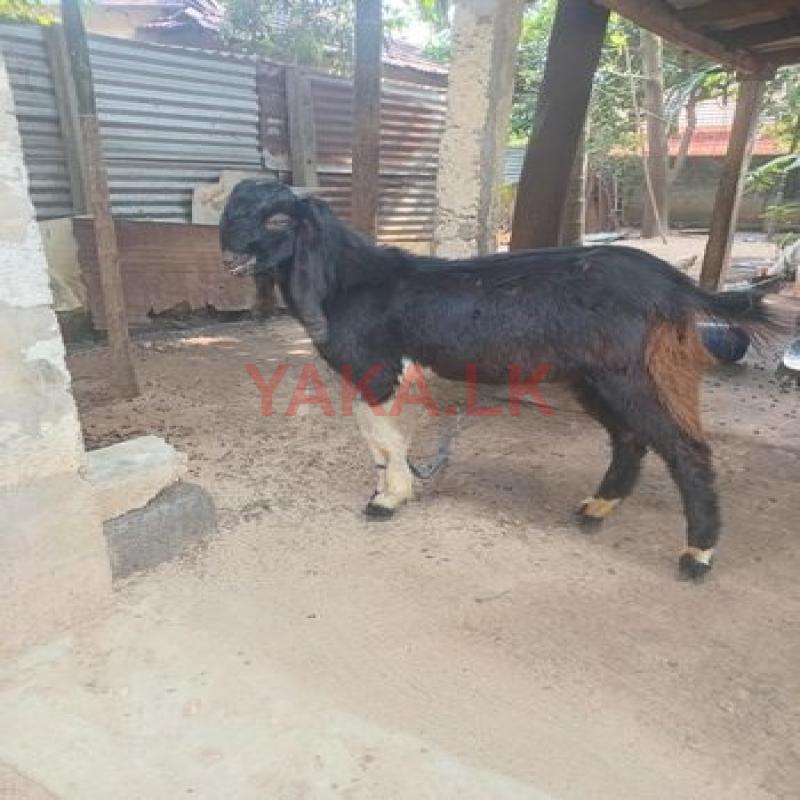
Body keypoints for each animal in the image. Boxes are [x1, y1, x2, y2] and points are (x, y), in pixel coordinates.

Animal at [220, 179, 772, 580]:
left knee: (685, 447)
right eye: (230, 211)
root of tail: (673, 284)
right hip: (594, 376)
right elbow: (376, 437)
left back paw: (697, 554)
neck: (346, 282)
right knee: (629, 437)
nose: (229, 250)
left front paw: (388, 499)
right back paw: (597, 507)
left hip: (630, 371)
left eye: (277, 219)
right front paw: (387, 492)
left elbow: (385, 437)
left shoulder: (378, 370)